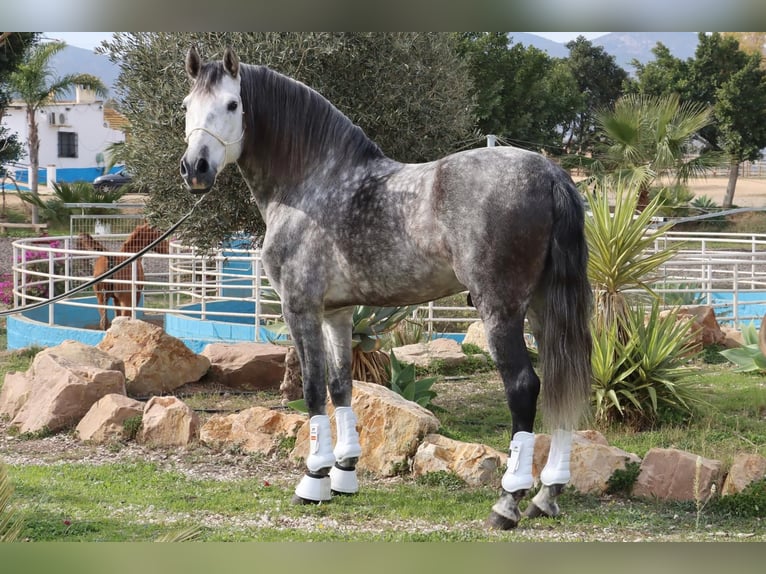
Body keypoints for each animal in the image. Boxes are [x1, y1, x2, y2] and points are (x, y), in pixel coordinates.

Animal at [180, 46, 592, 532]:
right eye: (186, 106)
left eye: (232, 105)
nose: (195, 168)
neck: (312, 183)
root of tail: (550, 174)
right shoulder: (337, 313)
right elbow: (341, 386)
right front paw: (343, 475)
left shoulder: (300, 308)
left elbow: (313, 389)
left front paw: (313, 480)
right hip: (546, 309)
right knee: (564, 381)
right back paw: (546, 495)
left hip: (501, 308)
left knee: (525, 386)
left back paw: (507, 503)